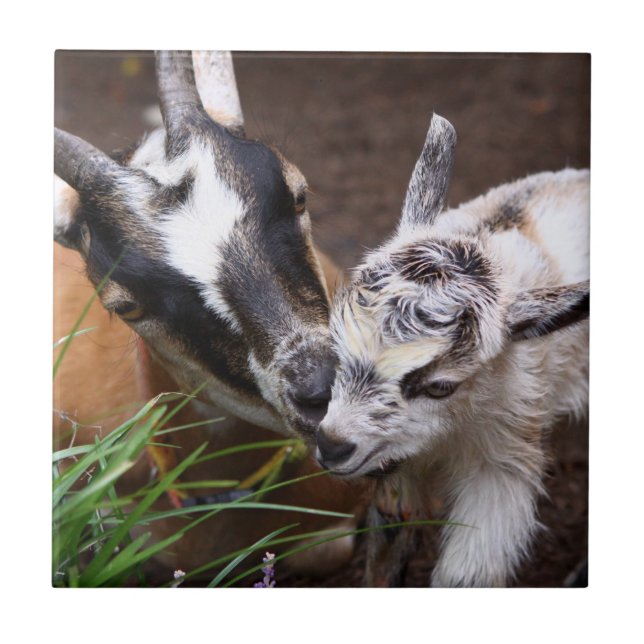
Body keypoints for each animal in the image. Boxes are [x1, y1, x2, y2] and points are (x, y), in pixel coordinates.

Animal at [316, 114, 589, 587]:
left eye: (440, 386)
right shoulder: (397, 467)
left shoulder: (504, 457)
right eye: (337, 346)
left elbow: (466, 574)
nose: (332, 444)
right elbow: (389, 544)